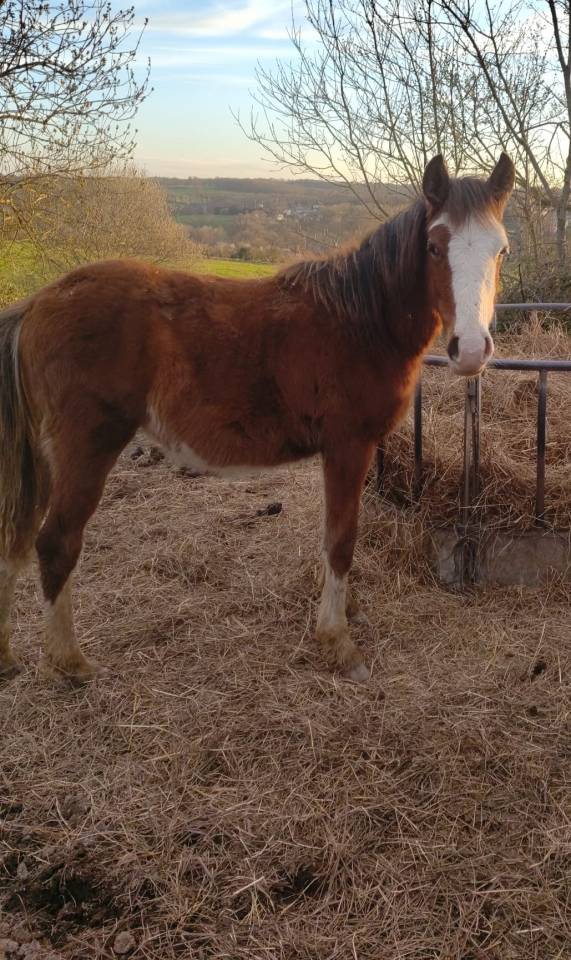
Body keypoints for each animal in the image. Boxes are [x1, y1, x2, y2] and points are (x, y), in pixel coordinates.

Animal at [0, 153, 514, 685]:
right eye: (434, 246)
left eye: (502, 251)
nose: (470, 351)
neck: (361, 321)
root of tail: (37, 303)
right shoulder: (347, 448)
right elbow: (341, 540)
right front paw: (337, 640)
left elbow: (334, 536)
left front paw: (346, 613)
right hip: (87, 447)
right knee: (56, 542)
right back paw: (71, 662)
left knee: (15, 537)